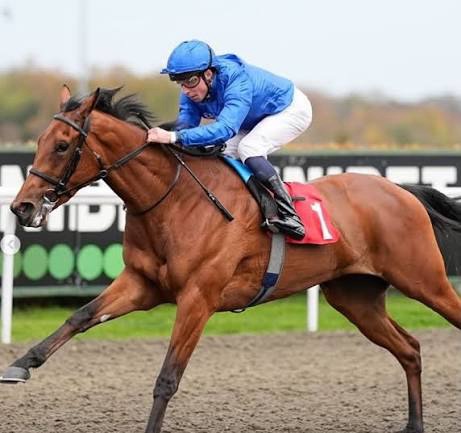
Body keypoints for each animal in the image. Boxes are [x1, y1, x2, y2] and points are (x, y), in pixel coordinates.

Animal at [2, 85, 461, 433]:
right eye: (39, 143)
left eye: (62, 146)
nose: (22, 207)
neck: (173, 200)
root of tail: (401, 190)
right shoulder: (141, 284)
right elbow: (79, 317)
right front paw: (20, 365)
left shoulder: (198, 298)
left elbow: (167, 378)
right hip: (355, 298)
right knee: (410, 349)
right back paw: (414, 424)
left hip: (425, 281)